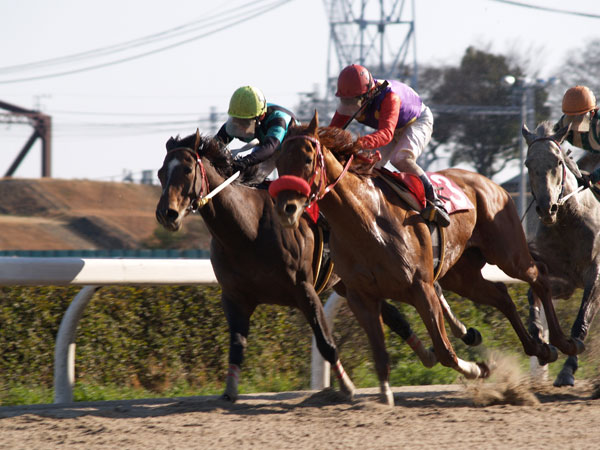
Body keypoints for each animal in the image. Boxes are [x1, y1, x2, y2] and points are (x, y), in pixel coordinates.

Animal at [270, 111, 580, 404]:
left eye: (308, 158)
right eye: (280, 162)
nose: (286, 208)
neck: (366, 220)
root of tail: (490, 183)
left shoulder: (421, 287)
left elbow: (444, 350)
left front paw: (479, 368)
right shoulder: (361, 297)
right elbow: (380, 354)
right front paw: (384, 398)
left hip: (508, 254)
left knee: (539, 276)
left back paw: (563, 342)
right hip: (461, 275)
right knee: (502, 295)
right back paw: (539, 348)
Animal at [524, 122, 596, 386]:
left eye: (557, 162)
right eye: (528, 163)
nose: (547, 208)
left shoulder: (594, 273)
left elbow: (582, 319)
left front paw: (567, 368)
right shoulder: (560, 282)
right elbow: (533, 297)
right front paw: (541, 343)